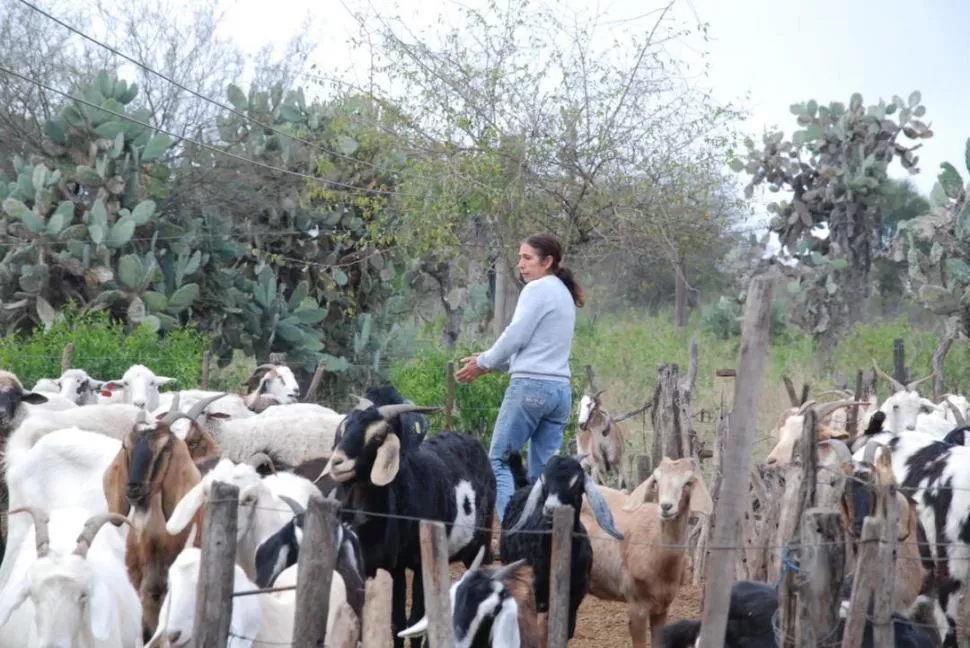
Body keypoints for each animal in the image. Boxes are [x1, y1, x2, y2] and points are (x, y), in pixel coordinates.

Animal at [316, 400, 496, 648]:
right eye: (343, 429)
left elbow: (413, 623)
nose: (338, 462)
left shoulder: (419, 563)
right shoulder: (387, 567)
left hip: (480, 545)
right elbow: (397, 623)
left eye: (377, 436)